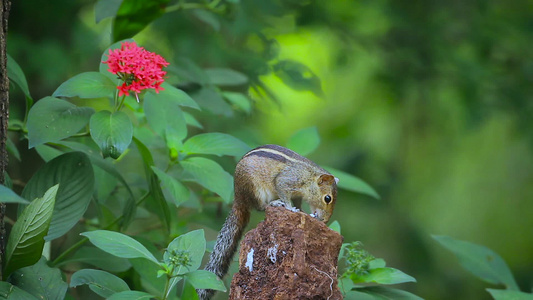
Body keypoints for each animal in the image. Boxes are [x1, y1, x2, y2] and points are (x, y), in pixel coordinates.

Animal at [195, 144, 336, 298]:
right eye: (327, 198)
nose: (325, 220)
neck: (309, 175)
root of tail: (239, 198)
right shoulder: (287, 181)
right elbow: (284, 192)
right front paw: (290, 208)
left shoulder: (297, 194)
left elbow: (298, 202)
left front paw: (301, 210)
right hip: (255, 189)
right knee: (261, 206)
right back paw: (274, 203)